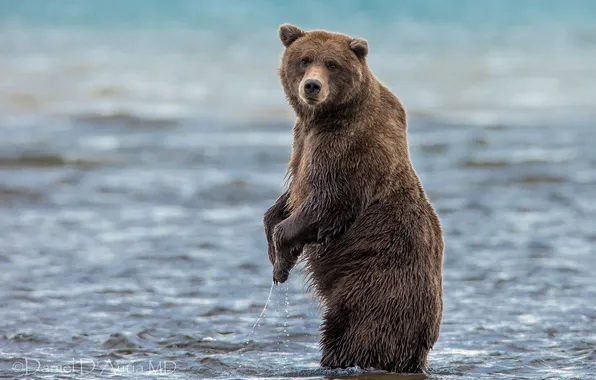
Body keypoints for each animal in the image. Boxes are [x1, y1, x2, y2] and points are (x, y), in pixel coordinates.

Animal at [264, 23, 444, 374]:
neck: (326, 116)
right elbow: (288, 198)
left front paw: (281, 260)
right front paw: (273, 245)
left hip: (374, 287)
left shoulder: (349, 149)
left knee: (354, 336)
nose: (312, 86)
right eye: (304, 60)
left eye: (332, 64)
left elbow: (327, 200)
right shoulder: (302, 140)